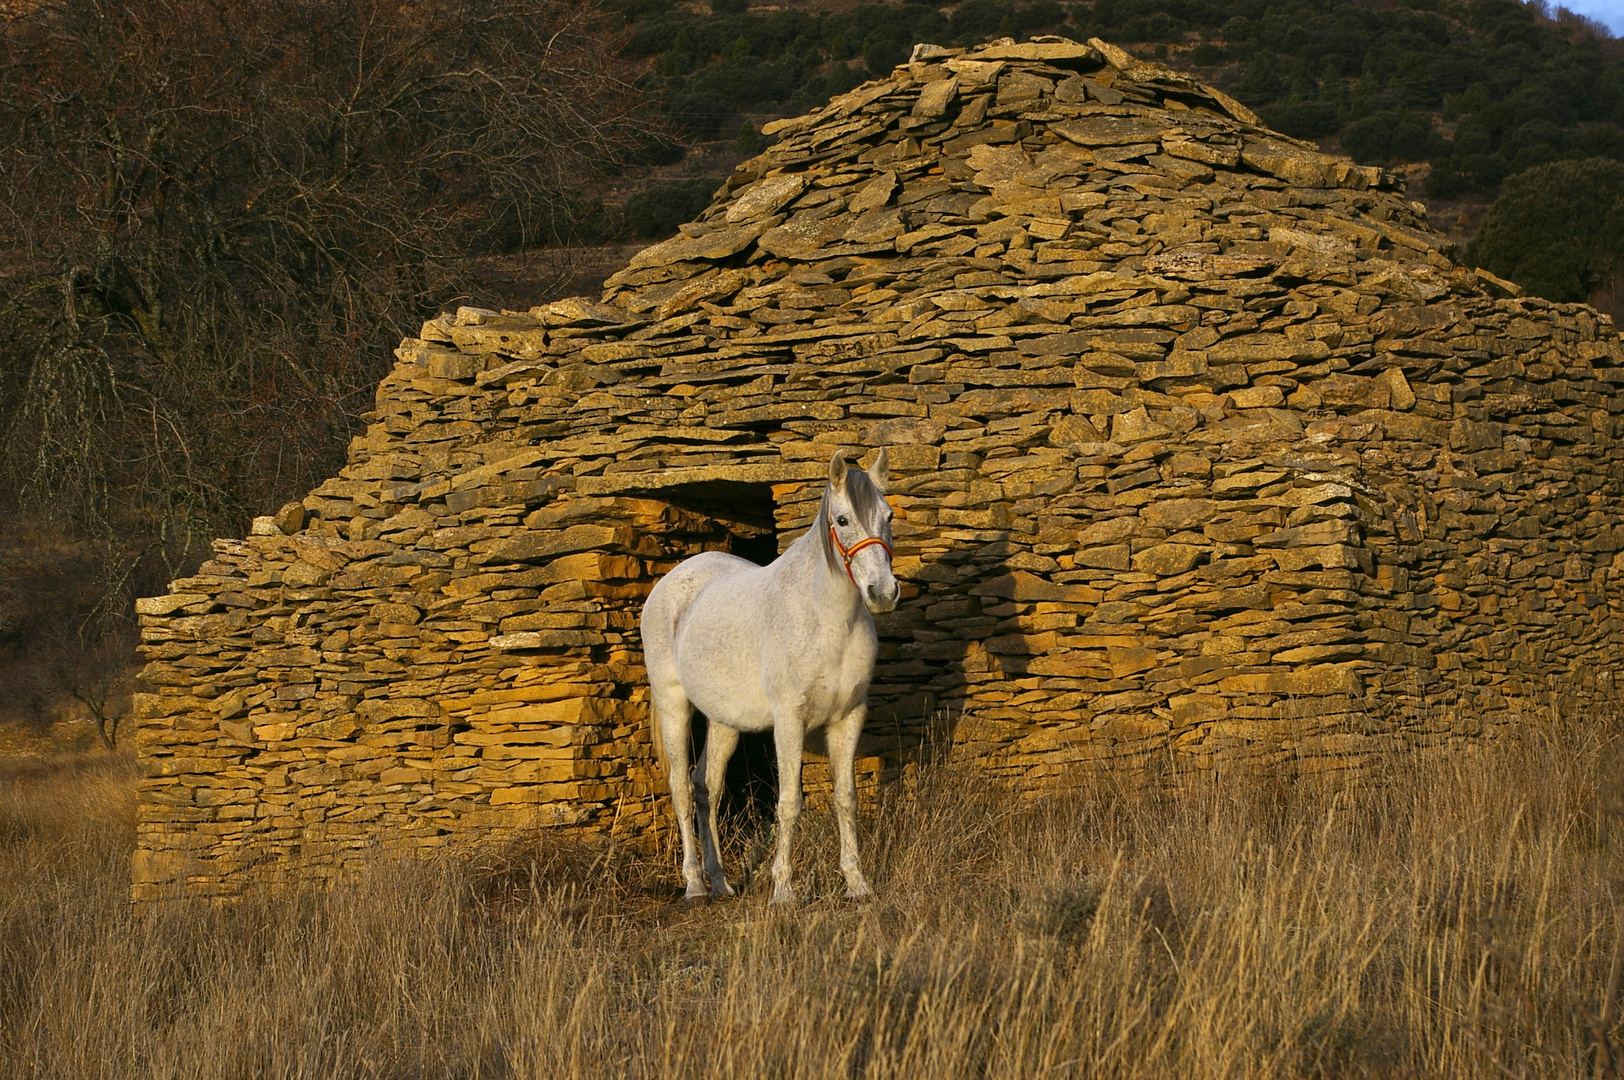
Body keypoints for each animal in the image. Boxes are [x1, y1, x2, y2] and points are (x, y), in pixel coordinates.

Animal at [636, 444, 902, 902]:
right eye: (842, 520)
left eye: (888, 516)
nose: (882, 593)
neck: (827, 621)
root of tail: (670, 582)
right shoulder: (789, 720)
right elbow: (790, 802)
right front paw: (783, 891)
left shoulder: (849, 717)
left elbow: (846, 798)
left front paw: (857, 884)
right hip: (674, 705)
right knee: (681, 788)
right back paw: (695, 885)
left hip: (723, 721)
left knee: (707, 787)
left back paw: (720, 881)